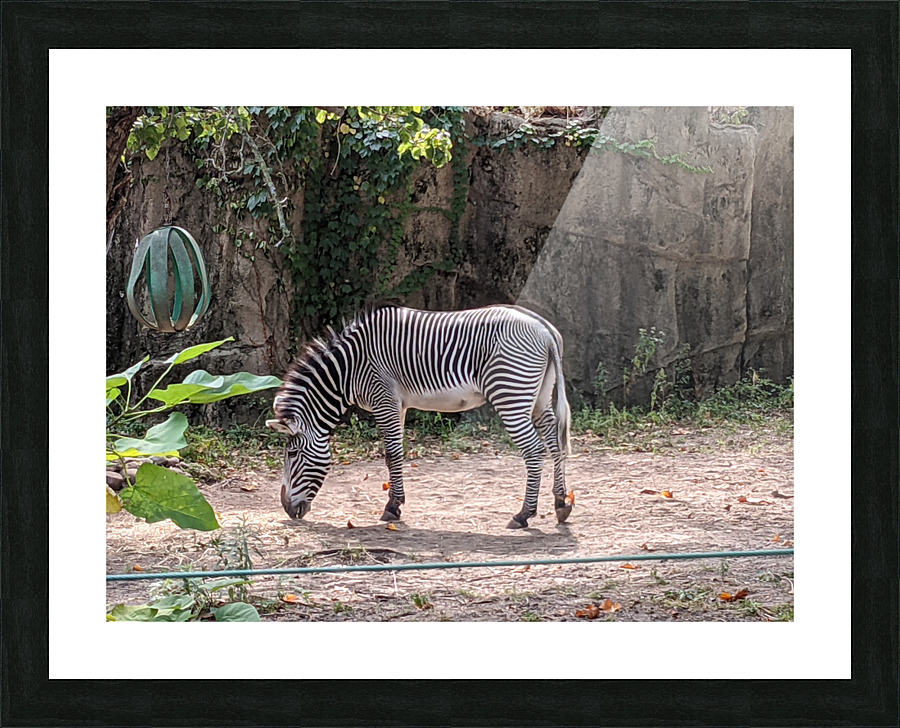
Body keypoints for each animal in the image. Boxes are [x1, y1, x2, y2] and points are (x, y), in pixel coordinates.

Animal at [266, 304, 572, 529]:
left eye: (291, 454)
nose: (287, 509)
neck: (349, 368)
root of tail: (545, 330)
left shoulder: (384, 400)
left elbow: (391, 454)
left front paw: (391, 507)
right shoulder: (398, 404)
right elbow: (396, 454)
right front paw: (396, 504)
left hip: (510, 394)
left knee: (534, 451)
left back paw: (523, 514)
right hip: (539, 397)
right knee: (554, 442)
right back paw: (561, 503)